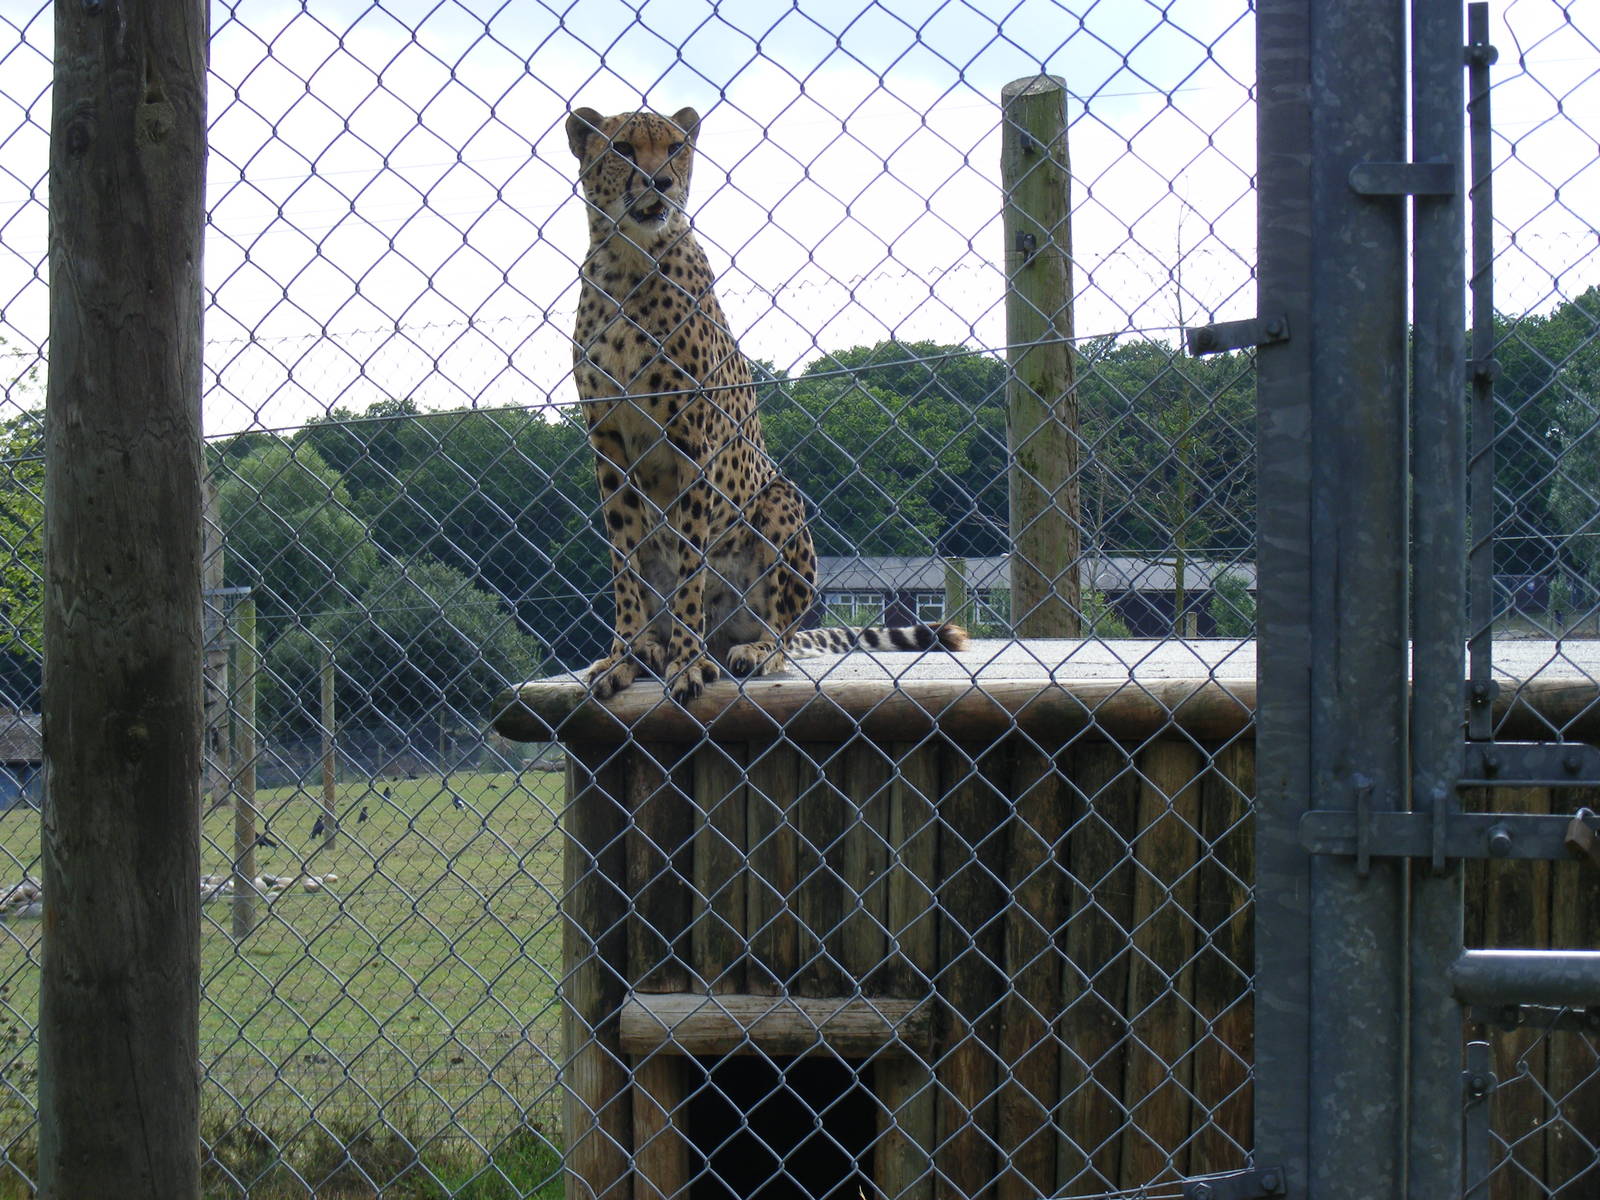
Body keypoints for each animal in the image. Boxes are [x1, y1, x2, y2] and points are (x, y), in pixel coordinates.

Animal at [565, 104, 968, 704]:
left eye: (675, 148)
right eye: (623, 148)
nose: (660, 183)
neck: (627, 258)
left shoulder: (692, 441)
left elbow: (691, 563)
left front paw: (688, 663)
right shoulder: (608, 444)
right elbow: (624, 564)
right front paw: (624, 655)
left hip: (782, 501)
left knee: (778, 630)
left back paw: (743, 650)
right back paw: (655, 648)